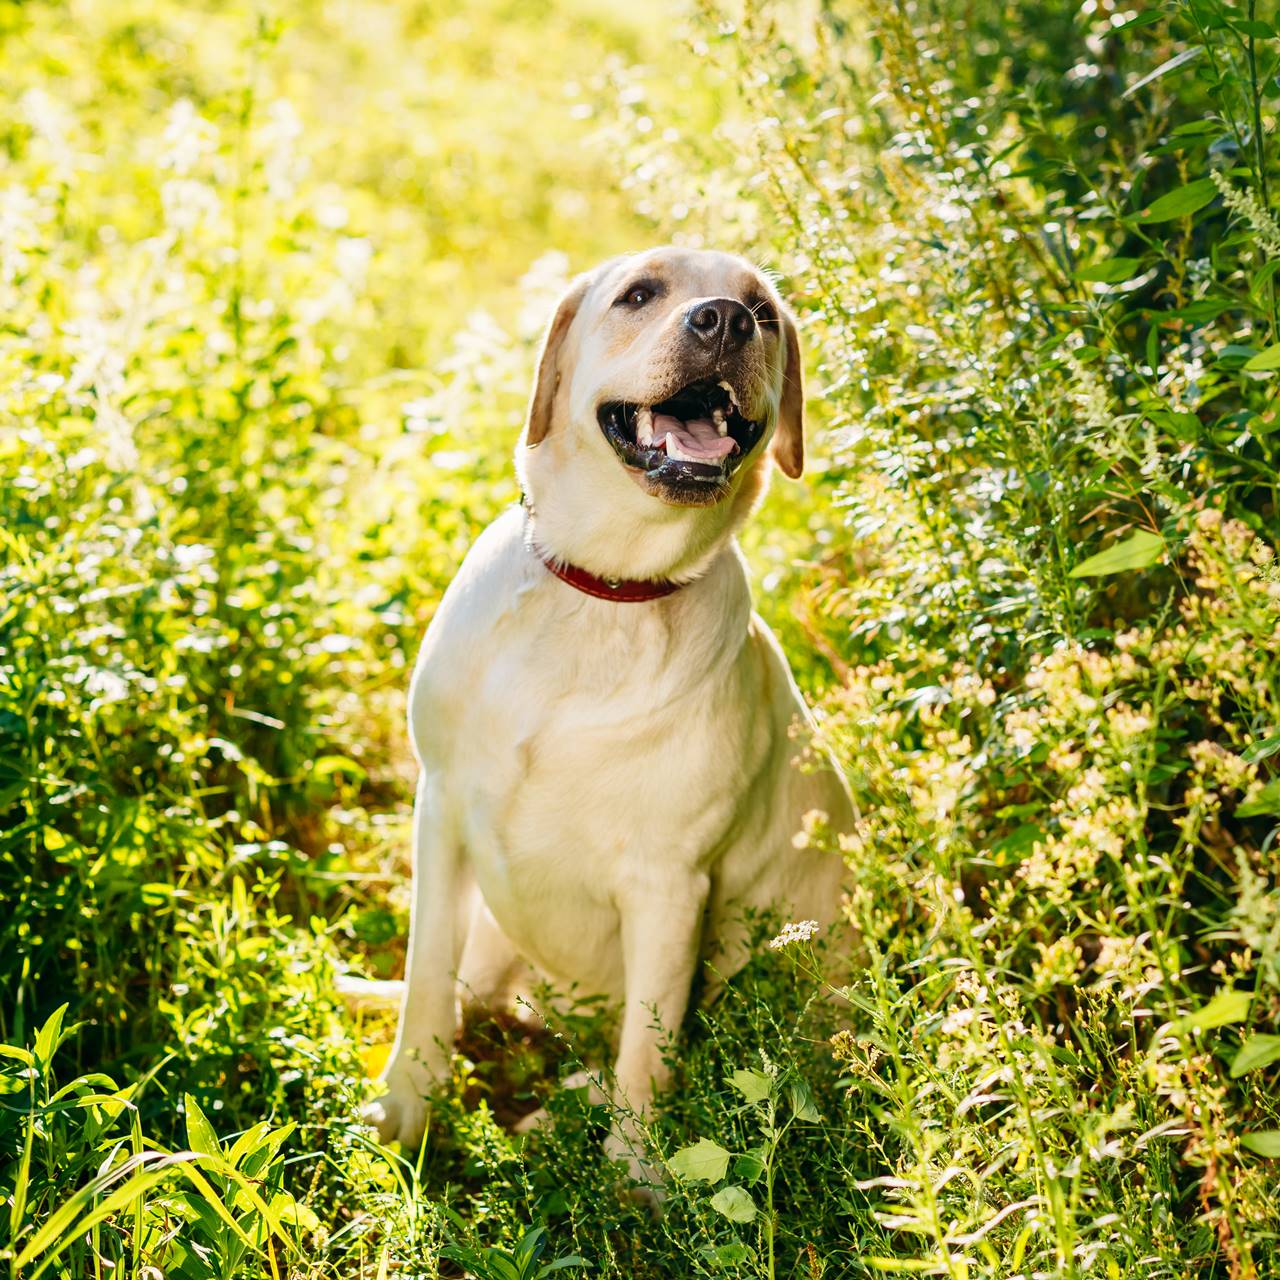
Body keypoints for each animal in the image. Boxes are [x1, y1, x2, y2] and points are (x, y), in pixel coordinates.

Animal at [366, 244, 855, 1172]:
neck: (605, 591)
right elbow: (425, 979)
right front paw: (405, 1107)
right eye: (639, 294)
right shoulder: (440, 812)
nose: (724, 321)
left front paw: (637, 1178)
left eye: (762, 313)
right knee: (473, 993)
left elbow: (647, 1055)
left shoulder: (669, 887)